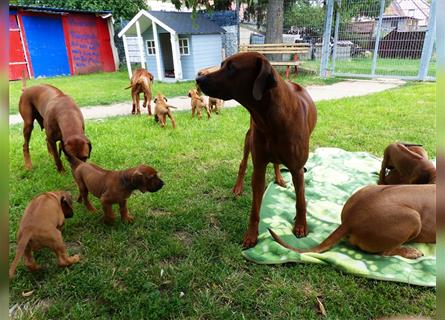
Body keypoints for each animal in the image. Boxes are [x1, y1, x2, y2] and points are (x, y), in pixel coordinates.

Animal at [195, 52, 316, 248]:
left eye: (231, 68)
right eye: (222, 65)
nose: (198, 79)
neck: (270, 118)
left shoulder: (297, 169)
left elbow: (301, 201)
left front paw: (300, 225)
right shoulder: (258, 168)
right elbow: (255, 207)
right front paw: (252, 234)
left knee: (276, 163)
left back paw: (279, 178)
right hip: (248, 139)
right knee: (243, 164)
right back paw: (238, 187)